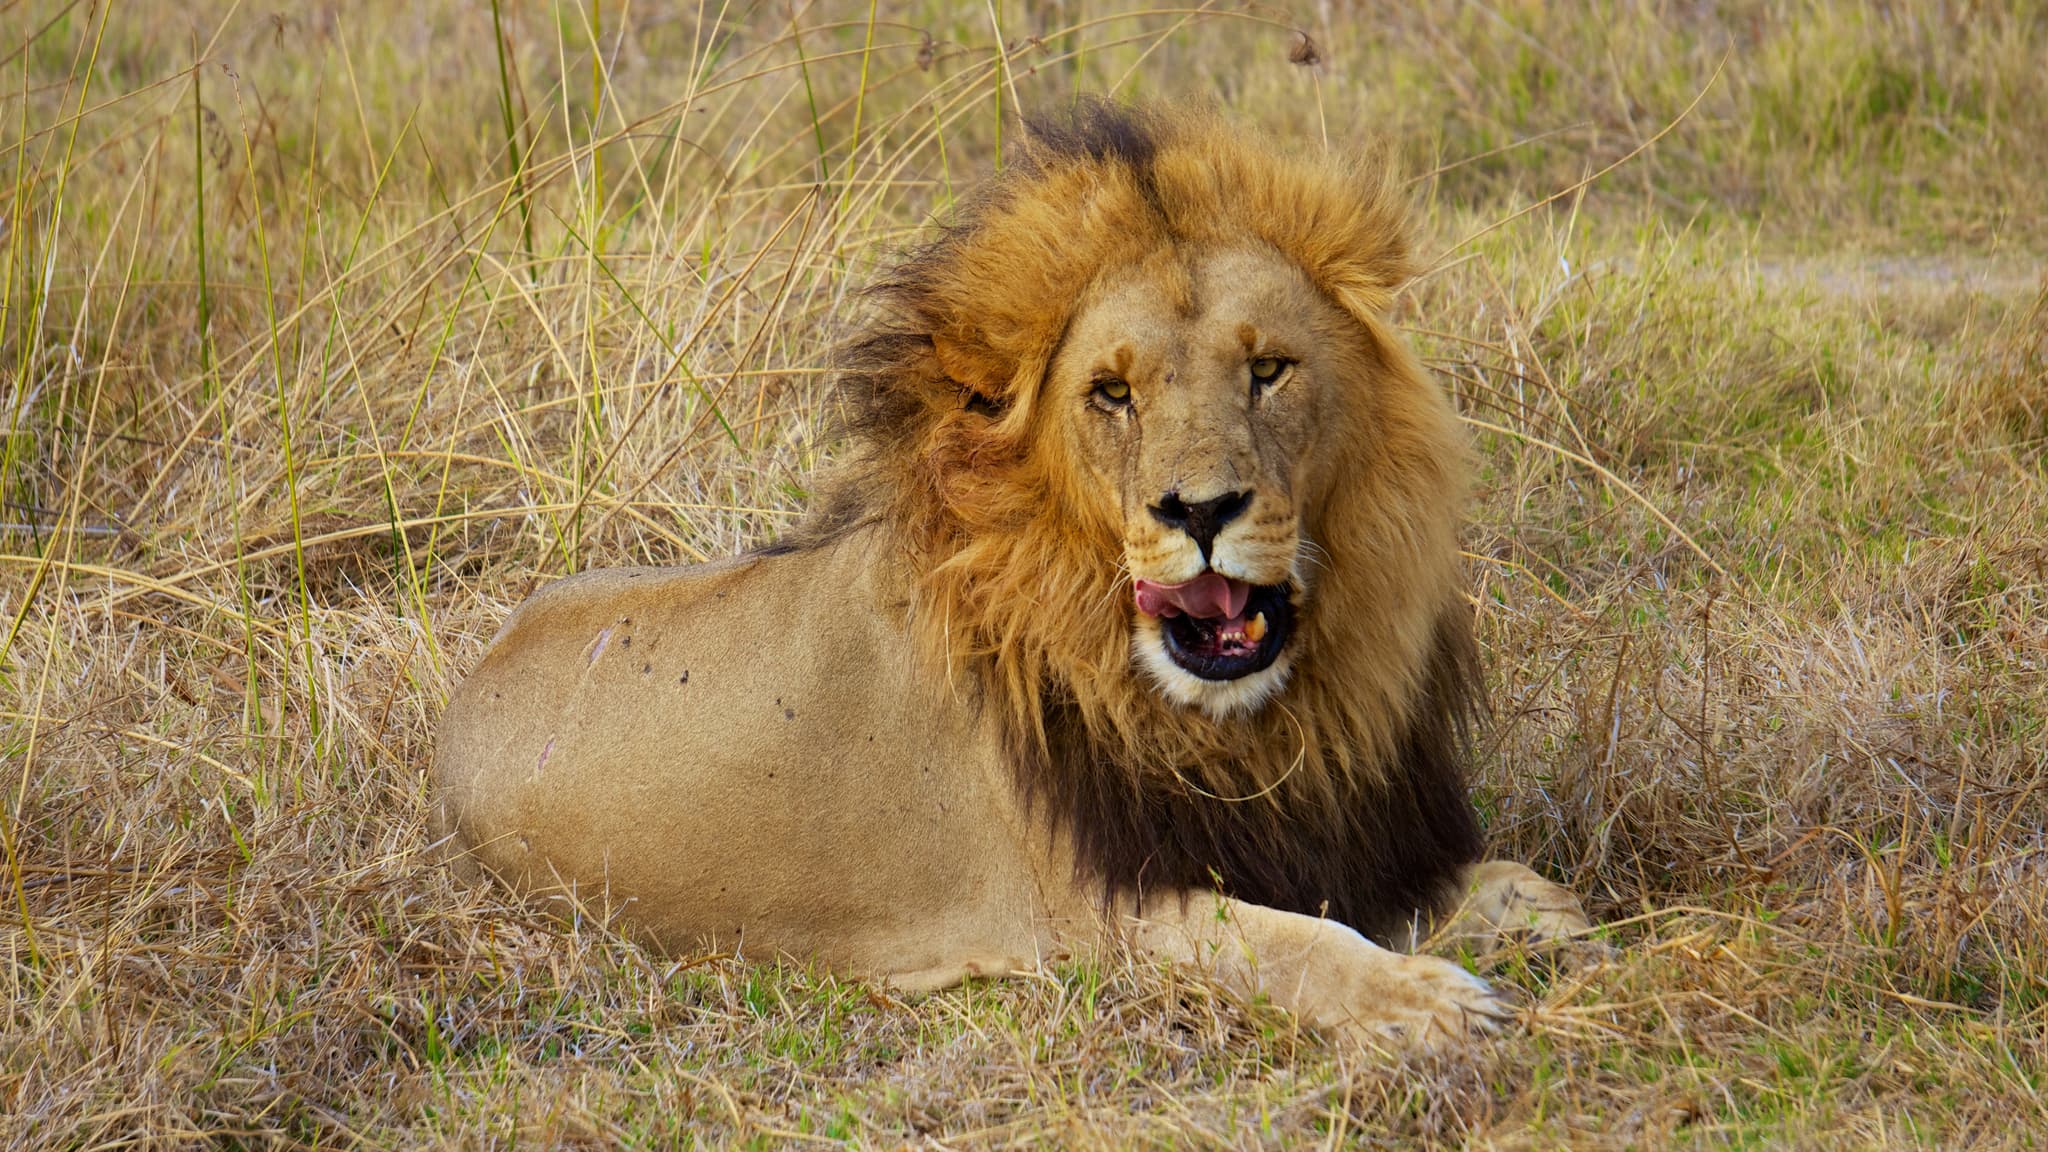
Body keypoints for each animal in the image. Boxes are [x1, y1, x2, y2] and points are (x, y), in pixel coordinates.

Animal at [434, 101, 1590, 1050]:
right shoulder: (1091, 911)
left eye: (1268, 371)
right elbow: (1289, 944)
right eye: (1111, 393)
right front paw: (1428, 1004)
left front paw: (1552, 918)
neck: (1239, 725)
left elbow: (1493, 881)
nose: (1199, 511)